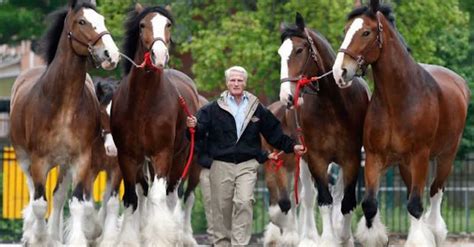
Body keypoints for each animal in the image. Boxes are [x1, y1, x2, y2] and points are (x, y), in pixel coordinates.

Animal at [9, 0, 119, 244]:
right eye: (82, 21)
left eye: (102, 20)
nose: (111, 54)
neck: (63, 107)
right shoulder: (39, 160)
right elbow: (40, 204)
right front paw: (39, 238)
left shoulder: (81, 160)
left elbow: (77, 203)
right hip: (24, 159)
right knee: (33, 192)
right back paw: (31, 230)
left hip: (65, 165)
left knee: (58, 197)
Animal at [110, 3, 199, 245]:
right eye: (142, 25)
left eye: (167, 25)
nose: (159, 55)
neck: (143, 102)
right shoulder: (128, 156)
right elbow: (132, 198)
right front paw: (131, 238)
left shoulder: (162, 154)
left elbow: (158, 198)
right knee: (143, 193)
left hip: (179, 159)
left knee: (170, 196)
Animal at [278, 13, 370, 245]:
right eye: (280, 53)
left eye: (299, 50)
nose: (286, 96)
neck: (333, 105)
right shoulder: (316, 159)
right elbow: (324, 200)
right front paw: (328, 239)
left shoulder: (351, 158)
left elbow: (347, 201)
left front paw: (344, 237)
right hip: (302, 158)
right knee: (309, 198)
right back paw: (308, 237)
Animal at [334, 0, 470, 246]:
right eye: (345, 30)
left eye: (366, 32)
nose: (340, 72)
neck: (398, 100)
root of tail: (459, 83)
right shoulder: (374, 157)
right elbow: (370, 205)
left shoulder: (420, 156)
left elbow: (416, 206)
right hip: (406, 166)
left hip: (446, 157)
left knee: (435, 195)